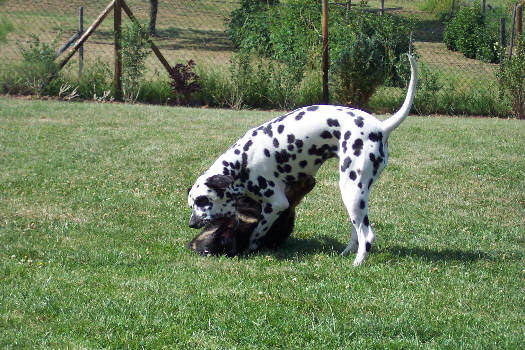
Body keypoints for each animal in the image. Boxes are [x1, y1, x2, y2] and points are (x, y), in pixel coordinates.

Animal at [189, 54, 418, 266]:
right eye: (191, 204)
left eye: (202, 200)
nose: (191, 223)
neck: (241, 162)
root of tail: (381, 127)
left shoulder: (276, 204)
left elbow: (257, 233)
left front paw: (252, 247)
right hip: (352, 198)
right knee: (356, 233)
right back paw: (345, 253)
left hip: (352, 191)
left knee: (367, 235)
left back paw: (357, 263)